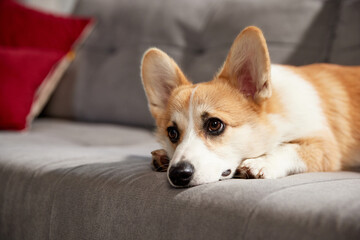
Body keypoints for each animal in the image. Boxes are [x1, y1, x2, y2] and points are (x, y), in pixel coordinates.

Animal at [140, 26, 360, 188]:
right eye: (172, 133)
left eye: (214, 124)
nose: (178, 174)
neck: (274, 115)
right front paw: (163, 156)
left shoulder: (327, 148)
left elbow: (290, 147)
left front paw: (262, 162)